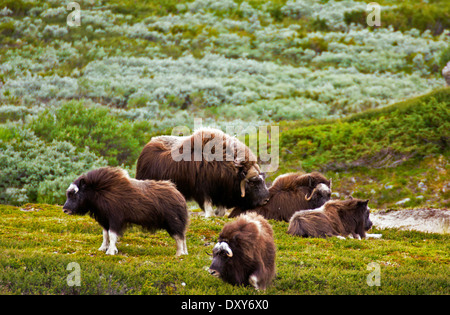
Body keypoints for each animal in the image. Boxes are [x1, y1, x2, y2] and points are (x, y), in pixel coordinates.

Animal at [135, 128, 268, 217]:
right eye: (253, 183)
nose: (266, 200)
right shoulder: (203, 190)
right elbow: (208, 209)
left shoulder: (220, 192)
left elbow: (221, 211)